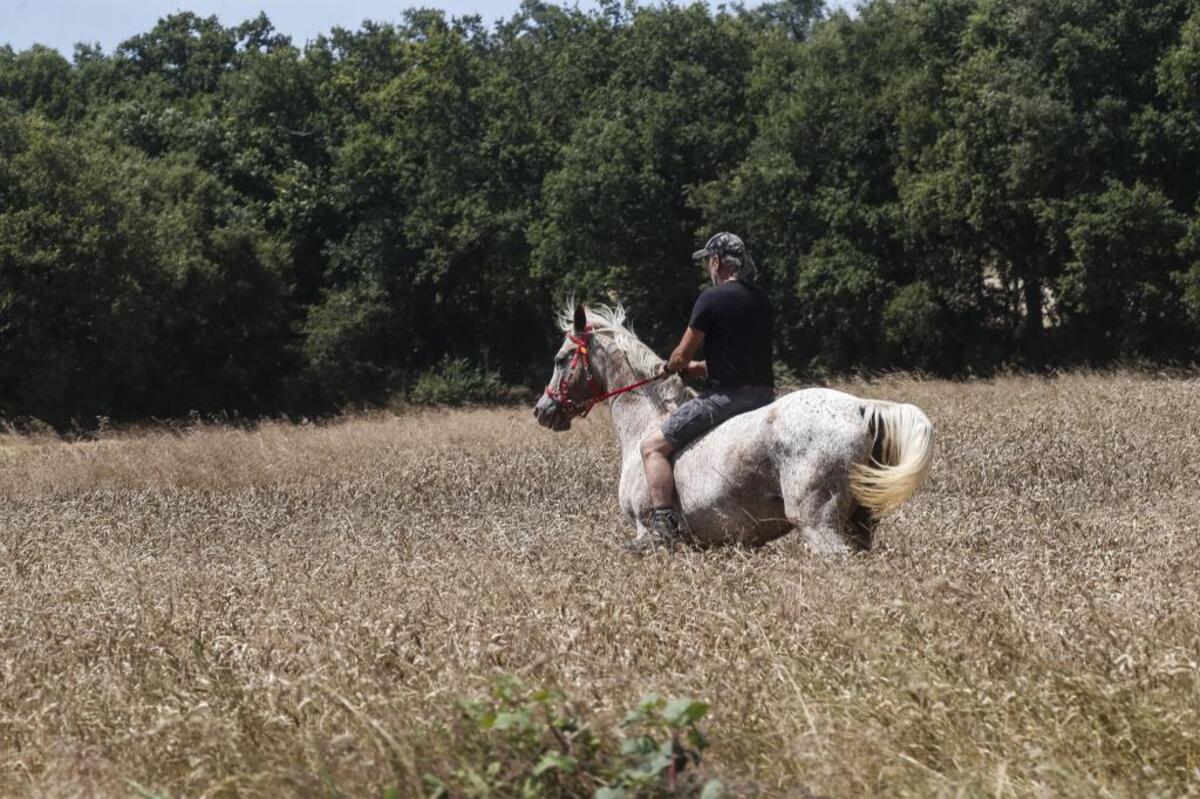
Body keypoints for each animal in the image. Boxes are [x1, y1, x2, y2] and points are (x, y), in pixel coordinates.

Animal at [535, 302, 936, 551]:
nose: (543, 410)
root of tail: (862, 407)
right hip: (859, 524)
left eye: (560, 359)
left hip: (818, 523)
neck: (646, 424)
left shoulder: (645, 528)